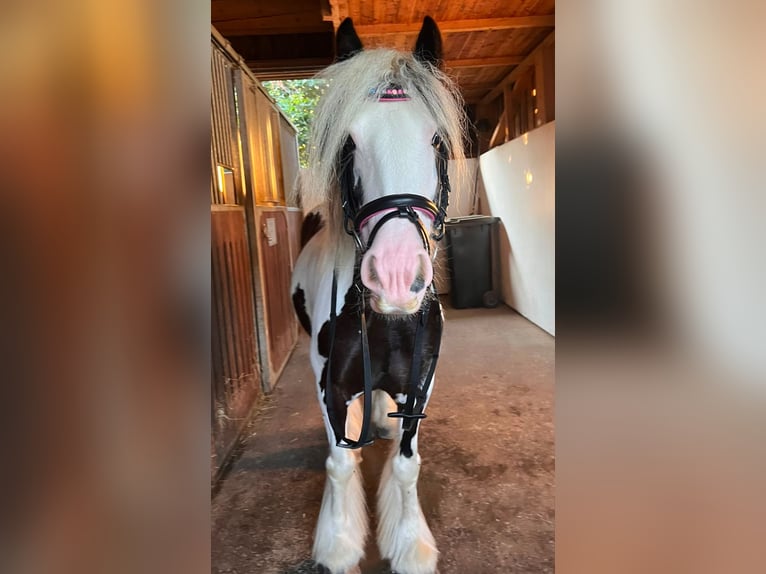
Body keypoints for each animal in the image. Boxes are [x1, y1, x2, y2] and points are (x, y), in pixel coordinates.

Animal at [291, 16, 466, 574]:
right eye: (348, 142)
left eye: (437, 140)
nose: (394, 275)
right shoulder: (330, 384)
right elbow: (340, 461)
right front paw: (339, 543)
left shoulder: (420, 385)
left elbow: (408, 466)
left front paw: (411, 545)